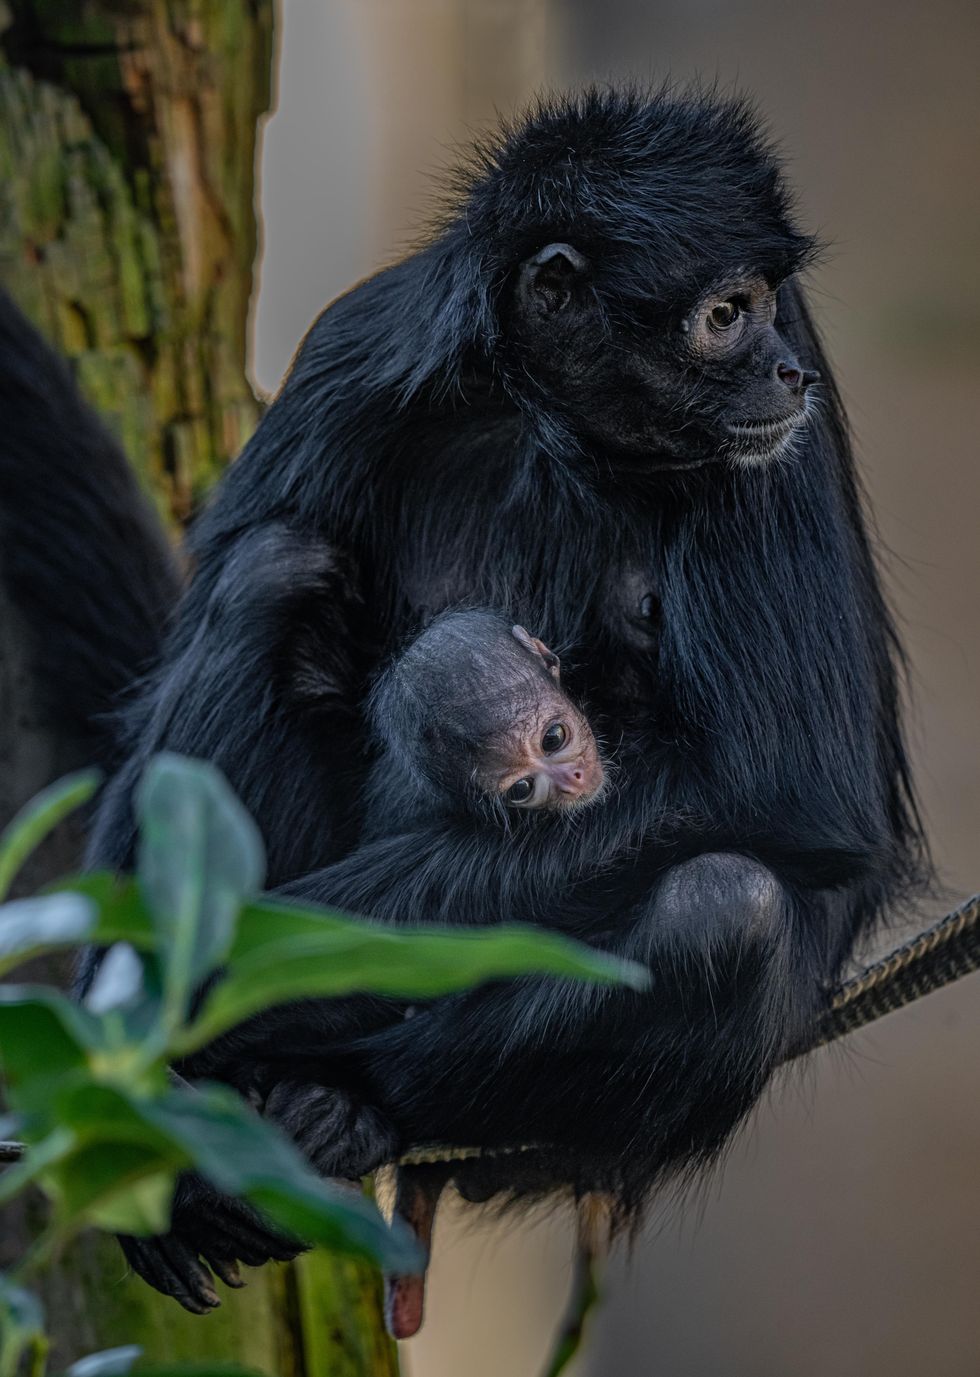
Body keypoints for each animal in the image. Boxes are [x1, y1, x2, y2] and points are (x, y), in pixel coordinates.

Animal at [77, 86, 926, 1314]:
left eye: (765, 304)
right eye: (724, 314)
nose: (785, 374)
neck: (556, 422)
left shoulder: (770, 430)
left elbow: (780, 782)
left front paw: (210, 992)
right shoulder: (361, 348)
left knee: (727, 910)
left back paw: (335, 1109)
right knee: (276, 568)